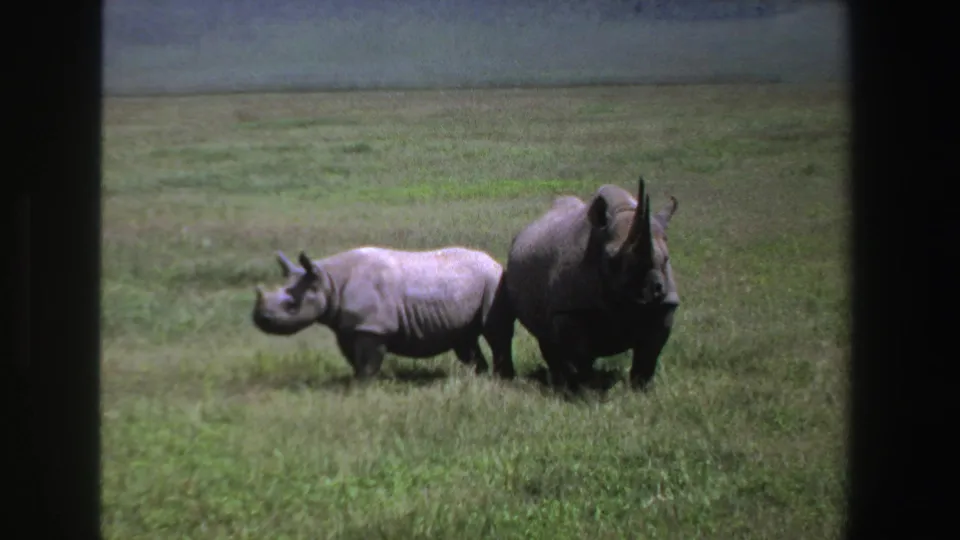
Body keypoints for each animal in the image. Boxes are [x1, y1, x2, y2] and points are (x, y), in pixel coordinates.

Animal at [251, 247, 515, 382]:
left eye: (292, 306)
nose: (260, 320)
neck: (328, 279)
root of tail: (495, 261)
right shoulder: (349, 327)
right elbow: (353, 358)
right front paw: (357, 382)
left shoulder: (373, 326)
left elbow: (368, 360)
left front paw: (365, 387)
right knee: (464, 339)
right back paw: (478, 379)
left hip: (493, 281)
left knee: (496, 333)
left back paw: (501, 380)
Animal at [492, 176, 679, 393]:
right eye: (611, 259)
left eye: (666, 259)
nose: (650, 294)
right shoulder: (569, 310)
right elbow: (579, 356)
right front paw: (585, 392)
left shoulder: (665, 306)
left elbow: (648, 355)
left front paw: (640, 391)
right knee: (547, 339)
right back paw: (560, 382)